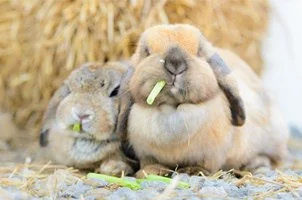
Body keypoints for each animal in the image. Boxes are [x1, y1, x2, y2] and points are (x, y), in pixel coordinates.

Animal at [121, 24, 290, 177]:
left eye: (199, 51)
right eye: (147, 52)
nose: (175, 63)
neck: (172, 107)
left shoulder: (211, 154)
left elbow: (205, 163)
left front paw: (194, 170)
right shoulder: (146, 154)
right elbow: (151, 163)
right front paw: (149, 172)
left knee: (266, 158)